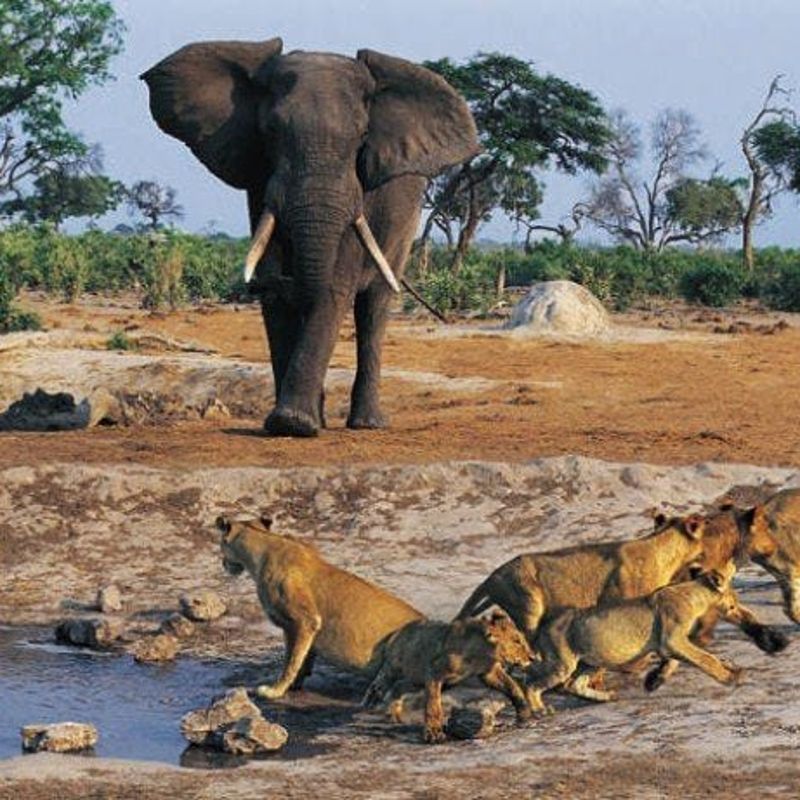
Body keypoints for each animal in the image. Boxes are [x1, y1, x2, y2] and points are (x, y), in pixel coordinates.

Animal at [141, 38, 479, 436]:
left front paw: (294, 423)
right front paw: (294, 422)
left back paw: (367, 424)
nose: (280, 279)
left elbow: (334, 286)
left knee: (375, 305)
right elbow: (279, 296)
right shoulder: (259, 181)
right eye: (270, 132)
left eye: (362, 138)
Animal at [217, 514, 423, 698]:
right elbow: (303, 657)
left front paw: (275, 690)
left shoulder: (305, 620)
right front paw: (294, 685)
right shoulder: (301, 628)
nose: (223, 564)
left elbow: (290, 661)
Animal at [362, 612, 534, 743]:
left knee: (399, 688)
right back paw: (369, 703)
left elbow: (512, 687)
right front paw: (434, 733)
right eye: (517, 641)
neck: (482, 653)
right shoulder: (434, 671)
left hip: (418, 681)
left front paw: (524, 714)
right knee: (380, 682)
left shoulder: (489, 673)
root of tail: (397, 631)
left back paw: (395, 713)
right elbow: (433, 704)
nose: (532, 657)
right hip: (395, 666)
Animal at [525, 563, 745, 713]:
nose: (737, 609)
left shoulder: (670, 643)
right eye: (733, 597)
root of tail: (542, 627)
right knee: (531, 682)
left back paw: (606, 697)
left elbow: (699, 658)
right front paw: (729, 677)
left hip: (592, 661)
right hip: (561, 664)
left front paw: (732, 668)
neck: (693, 595)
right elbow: (705, 658)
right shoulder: (671, 640)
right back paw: (539, 710)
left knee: (574, 684)